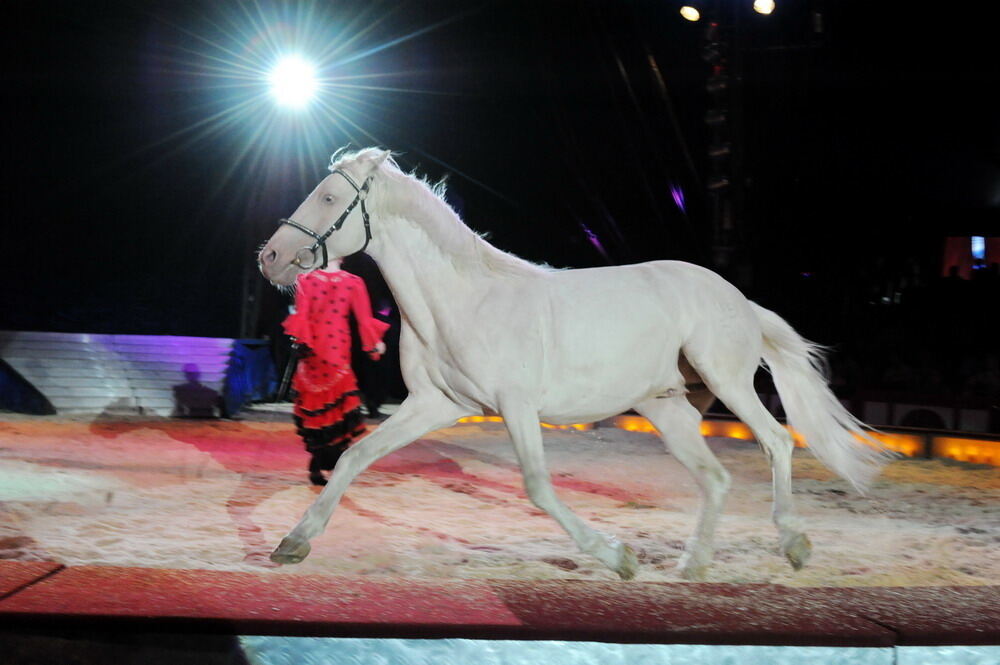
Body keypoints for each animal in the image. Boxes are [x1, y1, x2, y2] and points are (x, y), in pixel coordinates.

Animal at [258, 148, 892, 580]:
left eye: (329, 198)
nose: (270, 257)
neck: (462, 299)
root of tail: (737, 296)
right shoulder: (438, 405)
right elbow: (355, 455)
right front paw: (293, 543)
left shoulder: (515, 406)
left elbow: (538, 487)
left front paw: (618, 557)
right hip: (666, 407)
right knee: (715, 477)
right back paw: (693, 565)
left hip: (727, 380)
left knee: (776, 442)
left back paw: (793, 544)